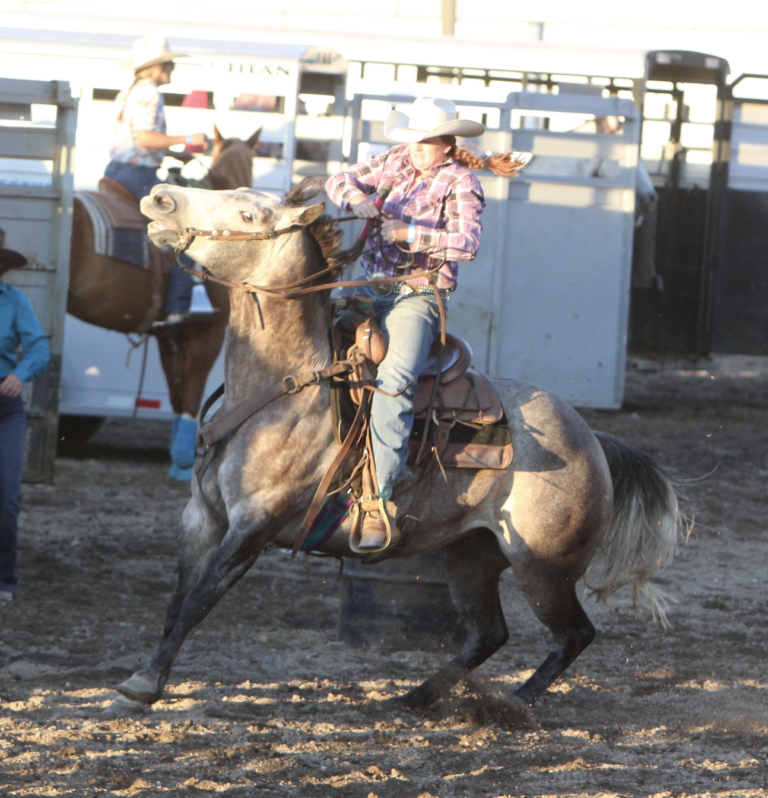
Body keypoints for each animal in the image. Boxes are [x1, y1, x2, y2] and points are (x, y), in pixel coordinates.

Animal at [107, 180, 685, 719]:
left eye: (249, 214)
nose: (160, 196)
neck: (282, 388)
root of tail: (591, 439)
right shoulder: (201, 517)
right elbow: (177, 603)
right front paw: (144, 680)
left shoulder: (255, 523)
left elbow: (198, 601)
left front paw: (142, 685)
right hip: (472, 556)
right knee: (488, 633)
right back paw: (416, 696)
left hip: (544, 567)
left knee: (574, 634)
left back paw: (512, 703)